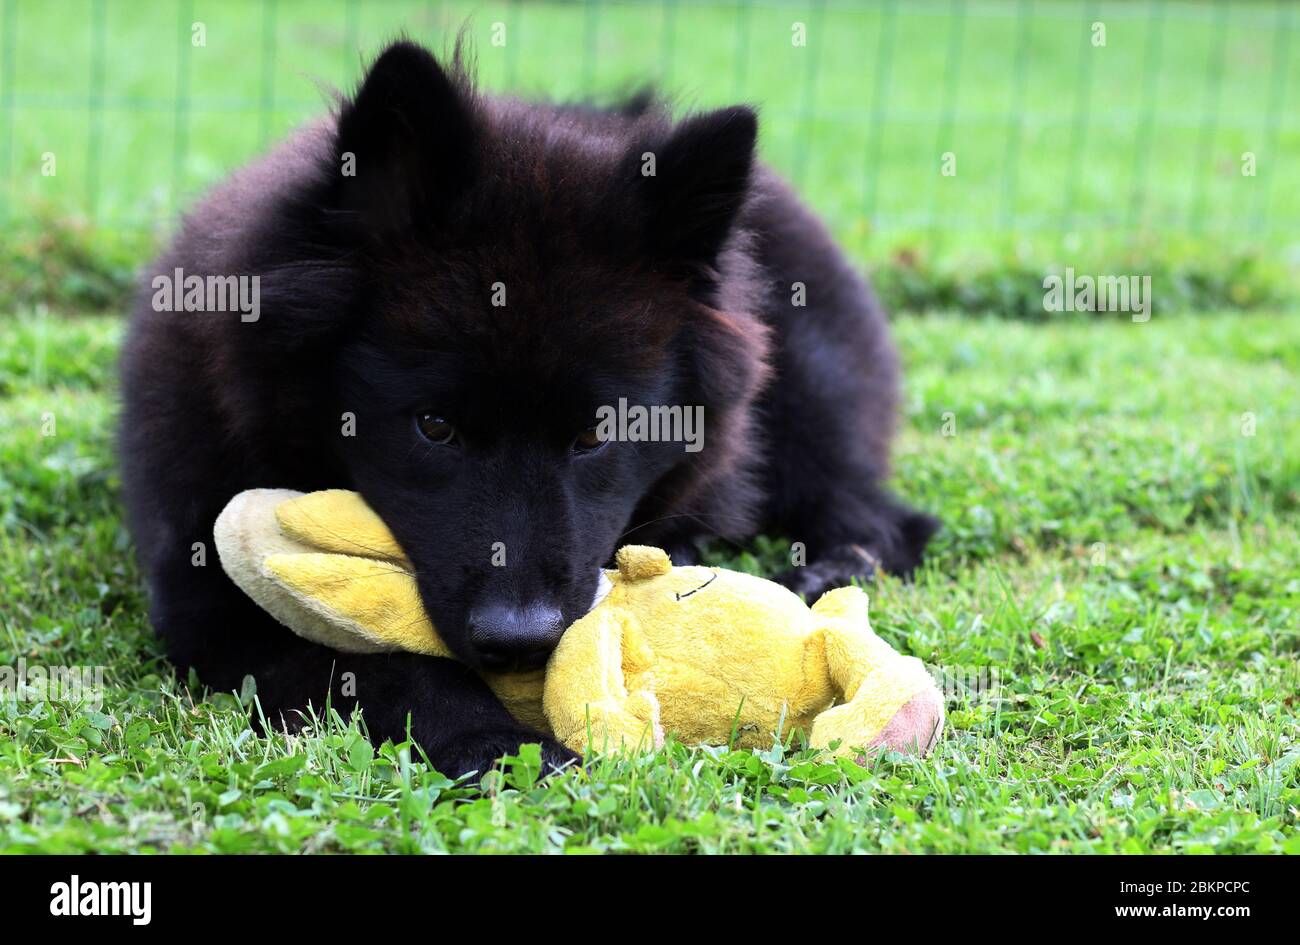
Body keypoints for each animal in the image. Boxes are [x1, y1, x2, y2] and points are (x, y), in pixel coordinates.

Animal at [119, 40, 935, 774]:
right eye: (434, 426)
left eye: (600, 431)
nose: (520, 641)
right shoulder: (211, 606)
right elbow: (387, 667)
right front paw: (498, 745)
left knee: (885, 516)